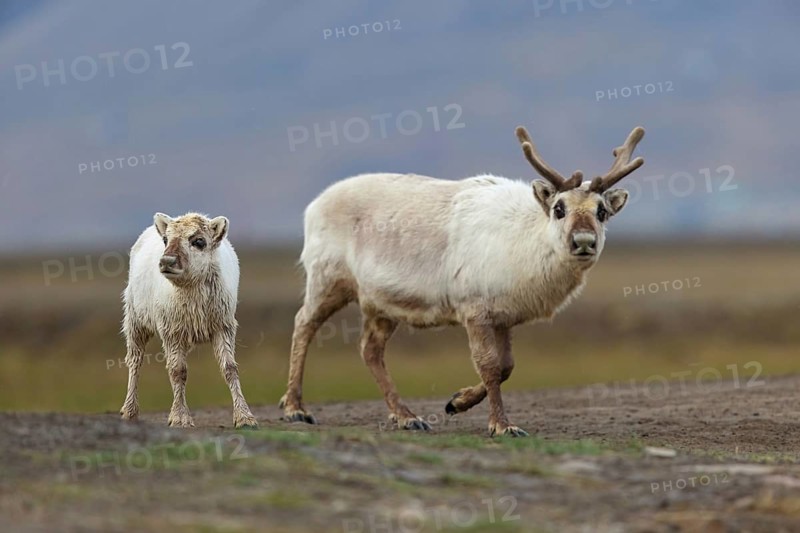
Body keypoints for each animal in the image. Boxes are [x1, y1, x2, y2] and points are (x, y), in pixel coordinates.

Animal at [278, 125, 645, 436]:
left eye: (601, 211)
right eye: (559, 208)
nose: (583, 242)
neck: (526, 240)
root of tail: (313, 206)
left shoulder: (504, 317)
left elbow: (507, 366)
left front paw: (456, 402)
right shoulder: (474, 310)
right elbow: (489, 365)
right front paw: (501, 425)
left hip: (381, 303)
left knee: (370, 349)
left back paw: (406, 416)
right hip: (328, 279)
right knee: (303, 323)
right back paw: (295, 407)